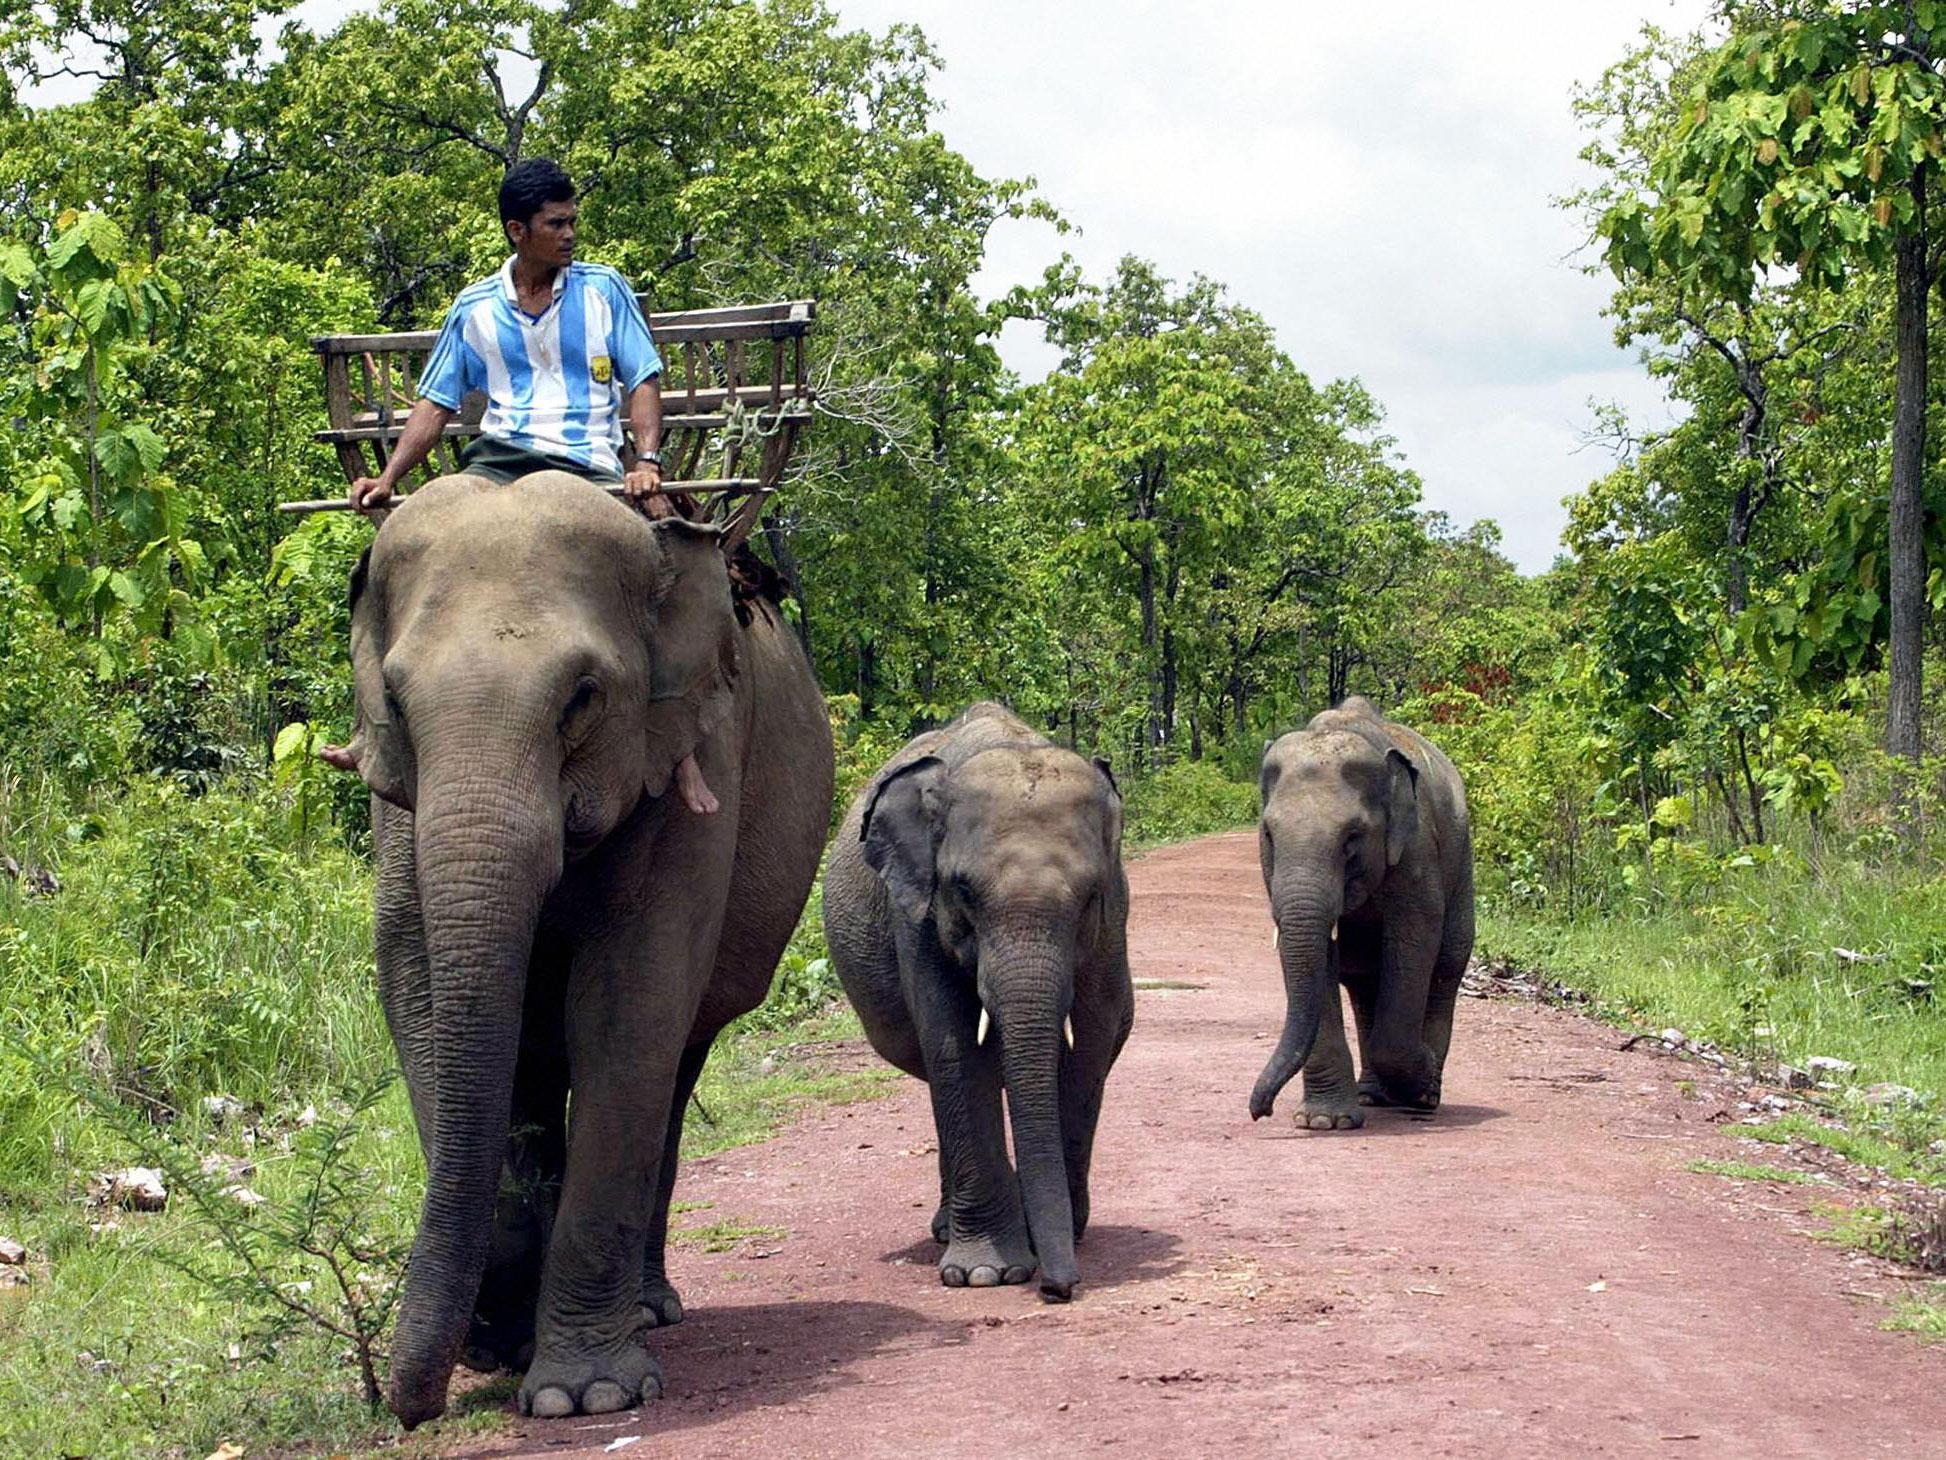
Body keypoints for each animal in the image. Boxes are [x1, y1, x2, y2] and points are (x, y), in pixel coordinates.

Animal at [342, 474, 828, 1424]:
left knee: (671, 1066)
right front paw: (500, 1342)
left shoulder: (692, 753)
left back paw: (648, 1310)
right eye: (397, 701)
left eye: (582, 697)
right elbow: (416, 995)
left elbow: (625, 1004)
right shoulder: (396, 804)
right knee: (536, 1065)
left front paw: (586, 1395)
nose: (409, 1408)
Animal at [825, 704, 1136, 1300]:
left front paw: (1049, 1239)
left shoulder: (1116, 913)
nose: (1057, 1289)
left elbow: (1092, 1036)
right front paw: (984, 1275)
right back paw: (950, 1230)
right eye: (963, 892)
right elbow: (953, 1043)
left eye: (1090, 897)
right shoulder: (917, 912)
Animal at [1245, 696, 1471, 1129]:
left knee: (1445, 970)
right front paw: (1323, 1122)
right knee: (1365, 983)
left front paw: (1419, 1080)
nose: (1259, 1110)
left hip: (1462, 868)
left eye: (1352, 838)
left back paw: (1425, 1094)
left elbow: (1414, 943)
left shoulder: (1416, 852)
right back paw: (1373, 1095)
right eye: (1268, 834)